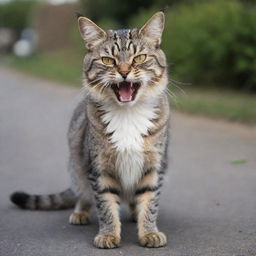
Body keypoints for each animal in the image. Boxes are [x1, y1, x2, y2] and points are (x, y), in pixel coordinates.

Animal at [10, 11, 170, 249]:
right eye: (108, 60)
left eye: (139, 58)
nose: (124, 72)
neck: (127, 114)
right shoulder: (98, 168)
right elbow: (106, 206)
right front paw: (109, 234)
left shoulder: (153, 167)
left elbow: (149, 202)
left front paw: (149, 232)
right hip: (77, 168)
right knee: (83, 195)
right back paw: (80, 212)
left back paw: (133, 212)